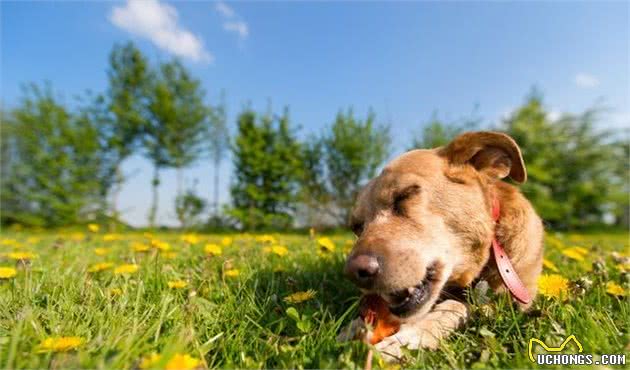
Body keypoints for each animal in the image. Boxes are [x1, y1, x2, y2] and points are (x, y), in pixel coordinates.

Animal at [344, 132, 544, 360]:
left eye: (405, 195)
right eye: (357, 227)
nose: (354, 273)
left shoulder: (510, 303)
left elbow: (456, 307)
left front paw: (409, 338)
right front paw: (354, 327)